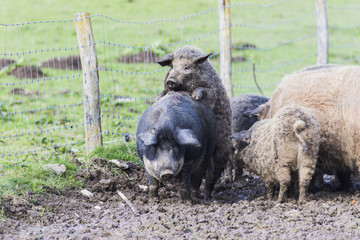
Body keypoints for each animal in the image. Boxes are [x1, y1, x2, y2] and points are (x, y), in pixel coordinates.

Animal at [157, 46, 231, 193]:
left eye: (186, 67)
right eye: (172, 66)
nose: (170, 80)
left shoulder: (211, 91)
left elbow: (205, 91)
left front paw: (195, 96)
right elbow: (163, 92)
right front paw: (159, 97)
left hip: (221, 151)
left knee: (213, 175)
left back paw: (208, 193)